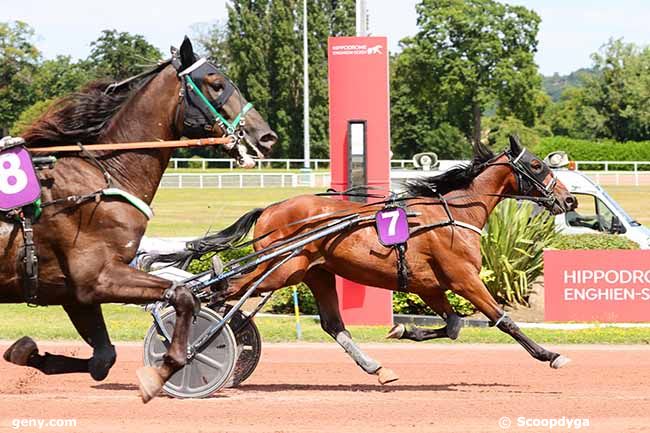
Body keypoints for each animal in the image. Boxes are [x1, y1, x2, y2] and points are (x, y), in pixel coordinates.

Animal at [0, 37, 276, 402]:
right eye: (216, 84)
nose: (266, 137)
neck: (101, 178)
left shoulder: (74, 291)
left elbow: (103, 359)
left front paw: (24, 351)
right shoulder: (99, 278)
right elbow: (183, 295)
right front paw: (171, 364)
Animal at [175, 137, 576, 384]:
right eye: (536, 165)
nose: (569, 200)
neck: (453, 215)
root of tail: (271, 209)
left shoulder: (430, 286)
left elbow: (452, 326)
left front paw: (402, 330)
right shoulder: (464, 279)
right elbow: (505, 321)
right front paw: (551, 354)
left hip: (314, 273)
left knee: (333, 326)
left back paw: (377, 367)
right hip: (281, 269)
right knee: (223, 290)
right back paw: (193, 343)